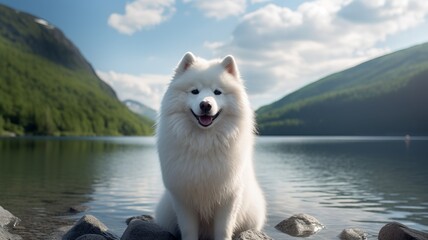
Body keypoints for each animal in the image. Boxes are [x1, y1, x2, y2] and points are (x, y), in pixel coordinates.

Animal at [155, 51, 266, 239]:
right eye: (194, 91)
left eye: (217, 92)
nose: (205, 104)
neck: (204, 143)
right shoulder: (184, 199)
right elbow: (188, 230)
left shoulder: (229, 198)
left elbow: (223, 230)